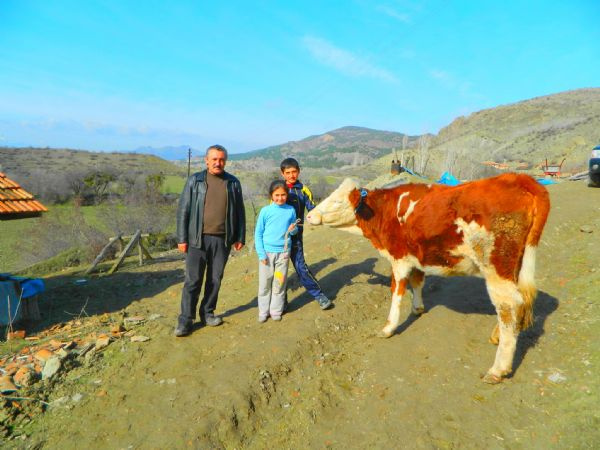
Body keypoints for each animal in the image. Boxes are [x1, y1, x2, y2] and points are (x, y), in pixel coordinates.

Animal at [308, 172, 552, 384]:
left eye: (337, 202)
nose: (309, 215)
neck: (386, 211)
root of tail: (517, 178)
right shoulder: (416, 257)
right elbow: (417, 282)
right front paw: (417, 308)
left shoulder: (399, 258)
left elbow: (397, 290)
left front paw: (388, 328)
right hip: (515, 266)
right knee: (517, 303)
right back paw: (497, 336)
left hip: (495, 266)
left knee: (508, 306)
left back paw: (498, 368)